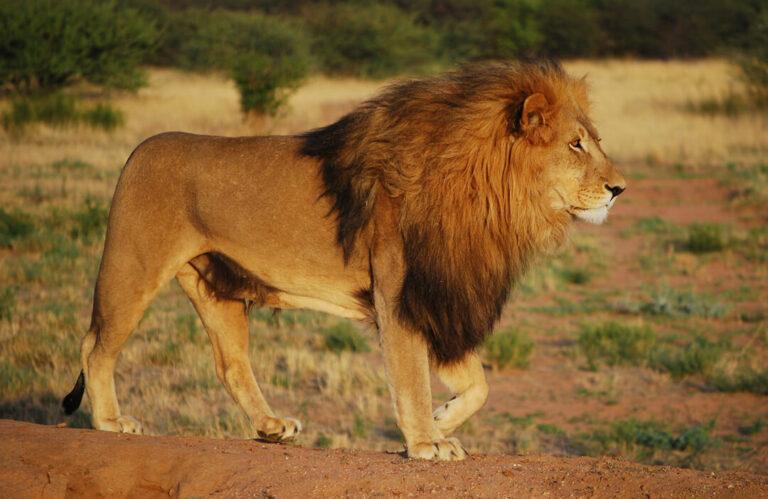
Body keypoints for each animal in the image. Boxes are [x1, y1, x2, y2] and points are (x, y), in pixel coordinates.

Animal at [62, 61, 625, 461]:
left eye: (595, 141)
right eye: (575, 145)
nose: (620, 189)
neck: (489, 197)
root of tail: (138, 149)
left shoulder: (437, 297)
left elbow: (479, 384)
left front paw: (440, 420)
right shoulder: (401, 294)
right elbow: (411, 376)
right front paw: (425, 442)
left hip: (216, 287)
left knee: (231, 365)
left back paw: (271, 428)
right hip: (132, 267)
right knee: (95, 345)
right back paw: (111, 422)